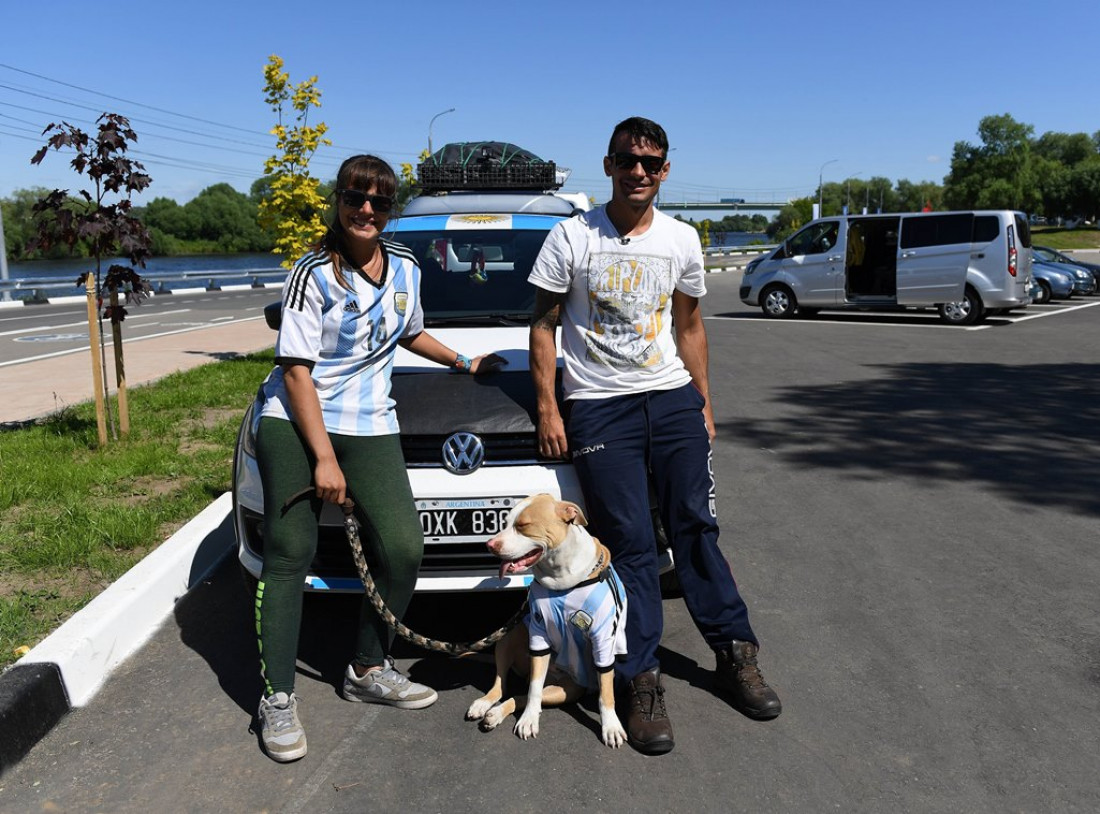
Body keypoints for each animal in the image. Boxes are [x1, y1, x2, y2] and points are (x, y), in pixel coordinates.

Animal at [462, 492, 629, 748]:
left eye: (523, 526)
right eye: (505, 523)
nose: (490, 544)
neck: (562, 578)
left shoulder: (602, 640)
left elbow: (606, 693)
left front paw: (611, 726)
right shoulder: (539, 636)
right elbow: (533, 691)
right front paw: (528, 720)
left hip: (567, 689)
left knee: (521, 695)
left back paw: (496, 713)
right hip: (512, 633)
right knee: (505, 686)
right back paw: (485, 705)